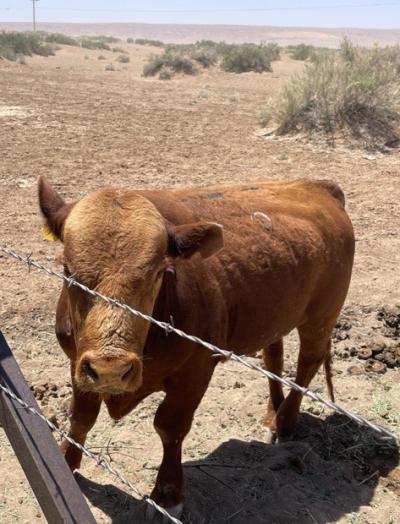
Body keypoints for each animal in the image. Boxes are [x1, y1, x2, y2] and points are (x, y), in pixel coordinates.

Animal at [39, 176, 354, 516]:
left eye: (158, 273)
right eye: (67, 270)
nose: (111, 367)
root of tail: (316, 185)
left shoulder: (195, 371)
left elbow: (170, 427)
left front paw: (167, 494)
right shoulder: (78, 363)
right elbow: (81, 416)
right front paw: (66, 461)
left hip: (321, 317)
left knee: (307, 364)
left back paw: (285, 422)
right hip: (276, 315)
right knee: (274, 358)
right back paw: (273, 414)